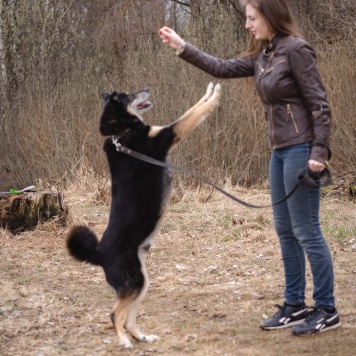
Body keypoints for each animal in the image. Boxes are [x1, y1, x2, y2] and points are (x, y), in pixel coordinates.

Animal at [64, 81, 220, 348]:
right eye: (129, 95)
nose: (147, 88)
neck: (121, 134)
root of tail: (99, 253)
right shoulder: (169, 134)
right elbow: (195, 111)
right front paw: (215, 94)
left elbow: (196, 107)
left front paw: (211, 89)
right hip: (134, 281)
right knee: (114, 314)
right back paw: (123, 341)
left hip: (142, 282)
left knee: (128, 318)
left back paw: (140, 336)